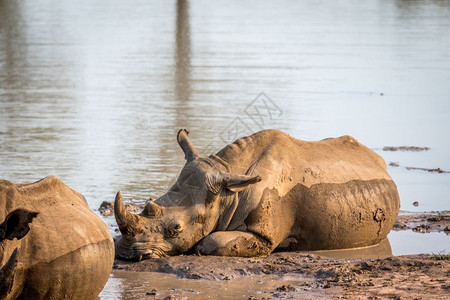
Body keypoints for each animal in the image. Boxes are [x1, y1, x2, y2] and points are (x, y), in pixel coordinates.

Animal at [114, 129, 400, 260]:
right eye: (150, 203)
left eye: (176, 228)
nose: (126, 253)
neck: (227, 193)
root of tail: (380, 163)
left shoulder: (264, 235)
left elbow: (212, 242)